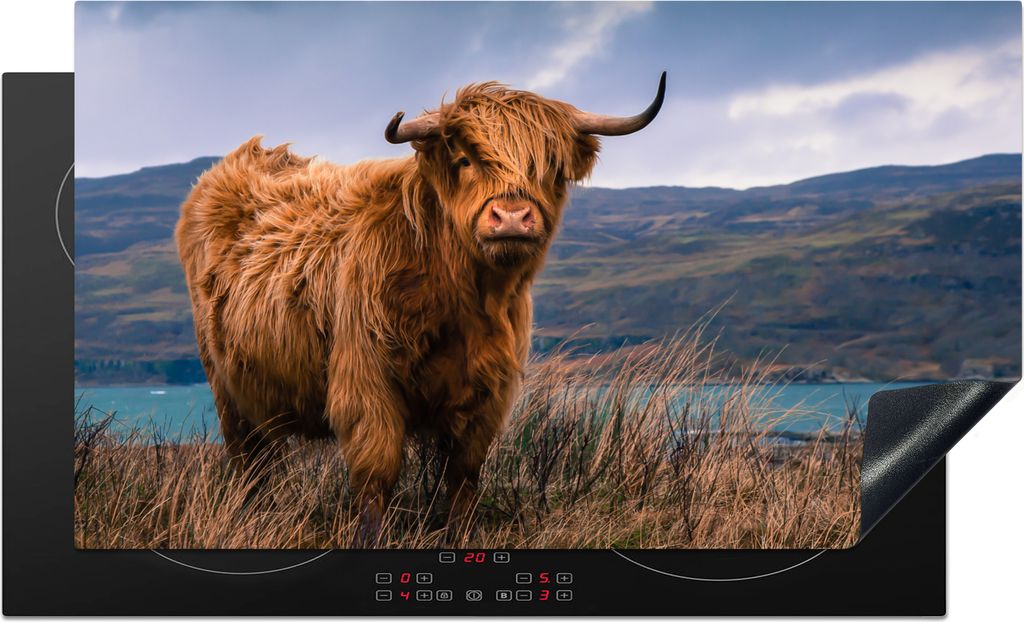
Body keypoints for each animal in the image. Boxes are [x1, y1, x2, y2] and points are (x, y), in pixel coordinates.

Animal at [175, 73, 666, 545]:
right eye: (465, 160)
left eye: (550, 168)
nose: (511, 217)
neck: (463, 299)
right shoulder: (366, 382)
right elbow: (376, 475)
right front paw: (370, 538)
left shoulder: (489, 393)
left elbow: (464, 477)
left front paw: (459, 534)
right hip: (227, 389)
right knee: (249, 463)